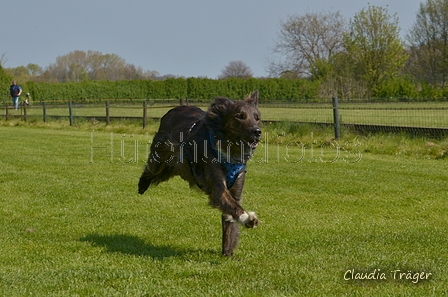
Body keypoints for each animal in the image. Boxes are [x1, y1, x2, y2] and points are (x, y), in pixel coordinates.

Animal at [138, 90, 260, 254]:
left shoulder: (236, 187)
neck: (230, 149)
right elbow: (232, 205)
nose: (257, 132)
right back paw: (142, 186)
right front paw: (248, 218)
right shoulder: (217, 184)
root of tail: (173, 110)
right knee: (150, 171)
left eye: (257, 118)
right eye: (240, 116)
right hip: (159, 159)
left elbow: (230, 219)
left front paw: (227, 253)